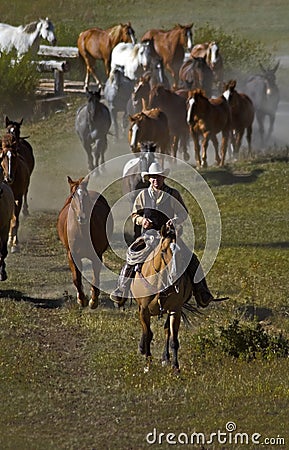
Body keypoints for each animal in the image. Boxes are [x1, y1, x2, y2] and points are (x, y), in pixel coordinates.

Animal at [56, 176, 113, 310]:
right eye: (73, 195)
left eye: (85, 195)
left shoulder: (97, 255)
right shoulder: (72, 255)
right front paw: (82, 300)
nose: (82, 217)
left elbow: (96, 277)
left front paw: (93, 301)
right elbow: (76, 278)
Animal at [129, 224, 197, 372]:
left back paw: (165, 358)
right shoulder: (143, 310)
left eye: (180, 251)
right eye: (164, 250)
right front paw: (147, 364)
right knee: (149, 332)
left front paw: (175, 366)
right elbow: (147, 334)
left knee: (166, 331)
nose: (175, 275)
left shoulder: (175, 310)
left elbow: (173, 339)